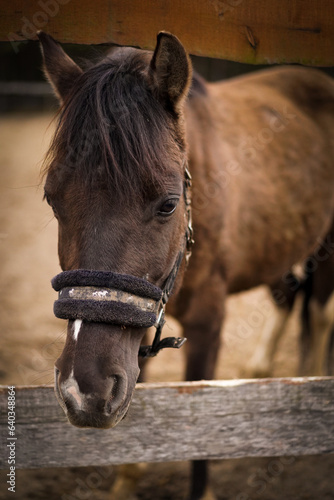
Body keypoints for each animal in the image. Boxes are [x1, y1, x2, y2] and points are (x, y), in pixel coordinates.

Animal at [37, 32, 334, 500]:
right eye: (52, 200)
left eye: (168, 204)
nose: (82, 389)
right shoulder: (136, 333)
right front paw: (125, 481)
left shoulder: (208, 324)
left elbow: (199, 423)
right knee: (287, 298)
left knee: (320, 315)